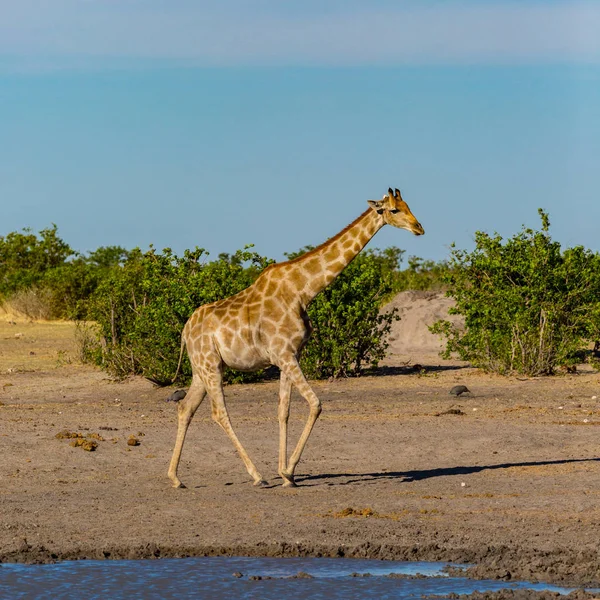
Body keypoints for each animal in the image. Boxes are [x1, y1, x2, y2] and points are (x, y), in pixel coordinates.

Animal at [166, 188, 424, 488]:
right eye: (394, 210)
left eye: (408, 205)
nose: (419, 228)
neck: (302, 291)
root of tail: (185, 330)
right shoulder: (284, 354)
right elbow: (315, 404)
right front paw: (288, 471)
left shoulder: (289, 355)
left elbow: (283, 411)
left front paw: (285, 473)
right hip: (209, 365)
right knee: (219, 413)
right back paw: (256, 475)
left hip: (203, 367)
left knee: (185, 408)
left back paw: (175, 478)